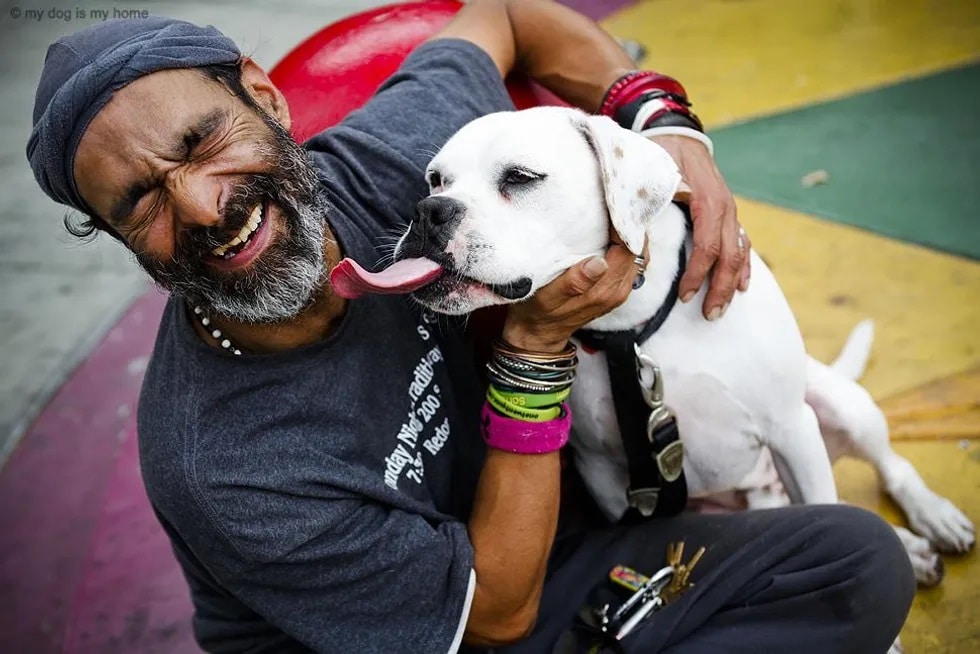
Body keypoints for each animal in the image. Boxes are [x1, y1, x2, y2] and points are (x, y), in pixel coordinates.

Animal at [344, 106, 972, 588]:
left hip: (837, 406)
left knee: (888, 467)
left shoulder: (792, 428)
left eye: (520, 178)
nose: (427, 212)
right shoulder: (605, 474)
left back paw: (930, 520)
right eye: (435, 180)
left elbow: (834, 501)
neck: (631, 331)